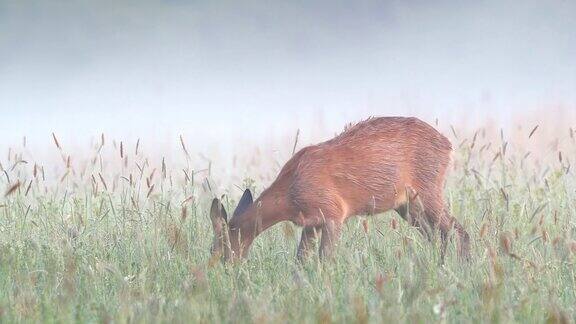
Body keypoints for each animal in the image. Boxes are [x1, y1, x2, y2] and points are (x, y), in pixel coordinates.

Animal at [209, 117, 470, 264]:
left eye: (216, 247)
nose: (219, 269)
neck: (290, 193)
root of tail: (448, 145)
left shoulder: (333, 213)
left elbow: (326, 260)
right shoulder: (311, 223)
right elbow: (300, 262)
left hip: (427, 191)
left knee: (457, 231)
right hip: (407, 205)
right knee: (437, 235)